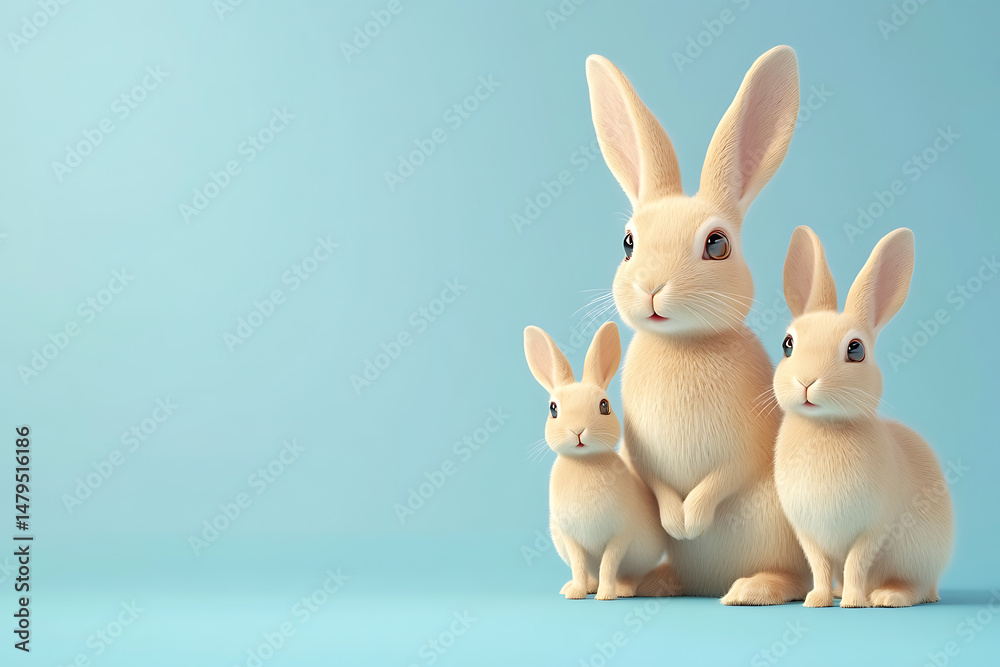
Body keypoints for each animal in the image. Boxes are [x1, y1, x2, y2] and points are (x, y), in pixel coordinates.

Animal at [524, 321, 680, 600]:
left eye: (604, 406)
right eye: (553, 409)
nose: (578, 431)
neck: (584, 462)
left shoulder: (619, 537)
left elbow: (609, 564)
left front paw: (606, 595)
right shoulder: (571, 539)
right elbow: (578, 565)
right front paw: (576, 593)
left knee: (628, 574)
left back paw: (622, 590)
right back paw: (578, 587)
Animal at [584, 46, 810, 604]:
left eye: (717, 244)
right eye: (628, 243)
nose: (652, 288)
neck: (681, 343)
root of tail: (709, 584)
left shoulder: (744, 448)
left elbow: (722, 477)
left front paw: (692, 520)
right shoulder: (643, 458)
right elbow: (660, 485)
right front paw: (676, 520)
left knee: (794, 579)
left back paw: (750, 589)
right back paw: (655, 582)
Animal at [773, 226, 953, 608]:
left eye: (856, 350)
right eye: (787, 345)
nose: (807, 381)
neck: (825, 426)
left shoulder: (873, 528)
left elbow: (856, 562)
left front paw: (855, 602)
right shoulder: (808, 532)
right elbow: (820, 566)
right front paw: (817, 600)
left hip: (918, 559)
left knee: (918, 587)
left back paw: (888, 596)